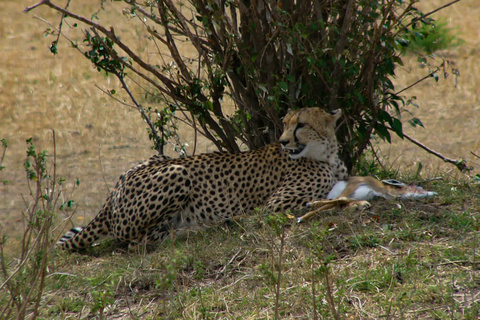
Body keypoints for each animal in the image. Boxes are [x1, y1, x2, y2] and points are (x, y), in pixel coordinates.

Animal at [58, 107, 346, 250]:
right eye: (286, 123)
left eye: (302, 125)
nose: (284, 141)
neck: (326, 154)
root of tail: (113, 193)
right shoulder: (273, 206)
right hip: (178, 172)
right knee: (131, 241)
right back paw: (197, 229)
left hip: (159, 159)